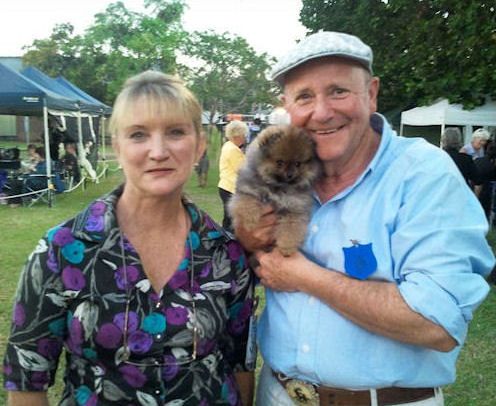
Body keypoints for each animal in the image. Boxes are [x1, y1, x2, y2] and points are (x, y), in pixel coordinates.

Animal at [229, 125, 322, 255]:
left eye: (298, 164)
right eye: (280, 162)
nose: (290, 174)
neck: (278, 188)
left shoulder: (294, 208)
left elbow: (291, 228)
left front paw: (287, 247)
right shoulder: (247, 190)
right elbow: (247, 204)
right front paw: (249, 222)